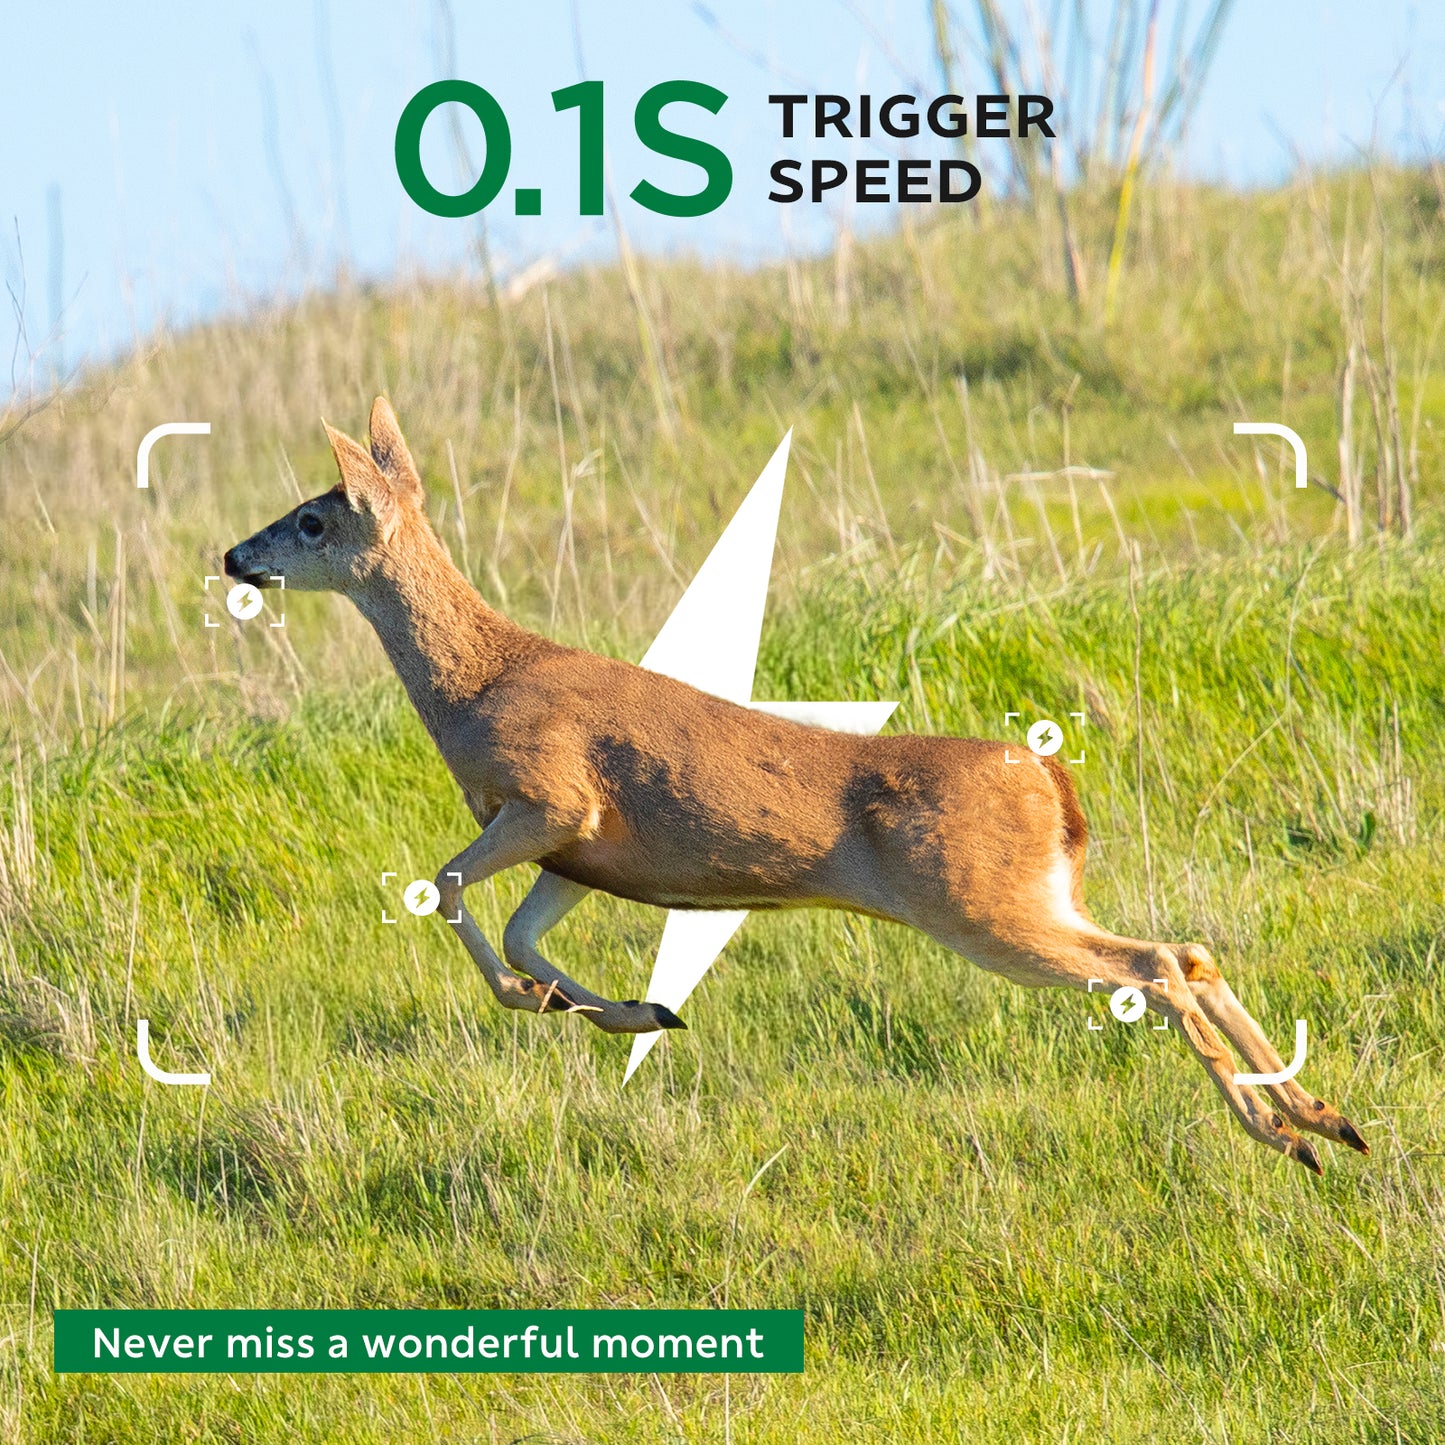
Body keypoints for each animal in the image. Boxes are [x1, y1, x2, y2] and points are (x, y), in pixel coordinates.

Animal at [223, 398, 1369, 1176]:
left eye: (313, 519)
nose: (234, 553)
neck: (472, 685)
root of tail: (1048, 778)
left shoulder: (549, 794)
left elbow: (451, 887)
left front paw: (546, 1000)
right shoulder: (579, 852)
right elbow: (518, 930)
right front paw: (621, 1007)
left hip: (976, 901)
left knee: (1155, 964)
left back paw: (1281, 1132)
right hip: (1029, 891)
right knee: (1189, 947)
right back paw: (1327, 1118)